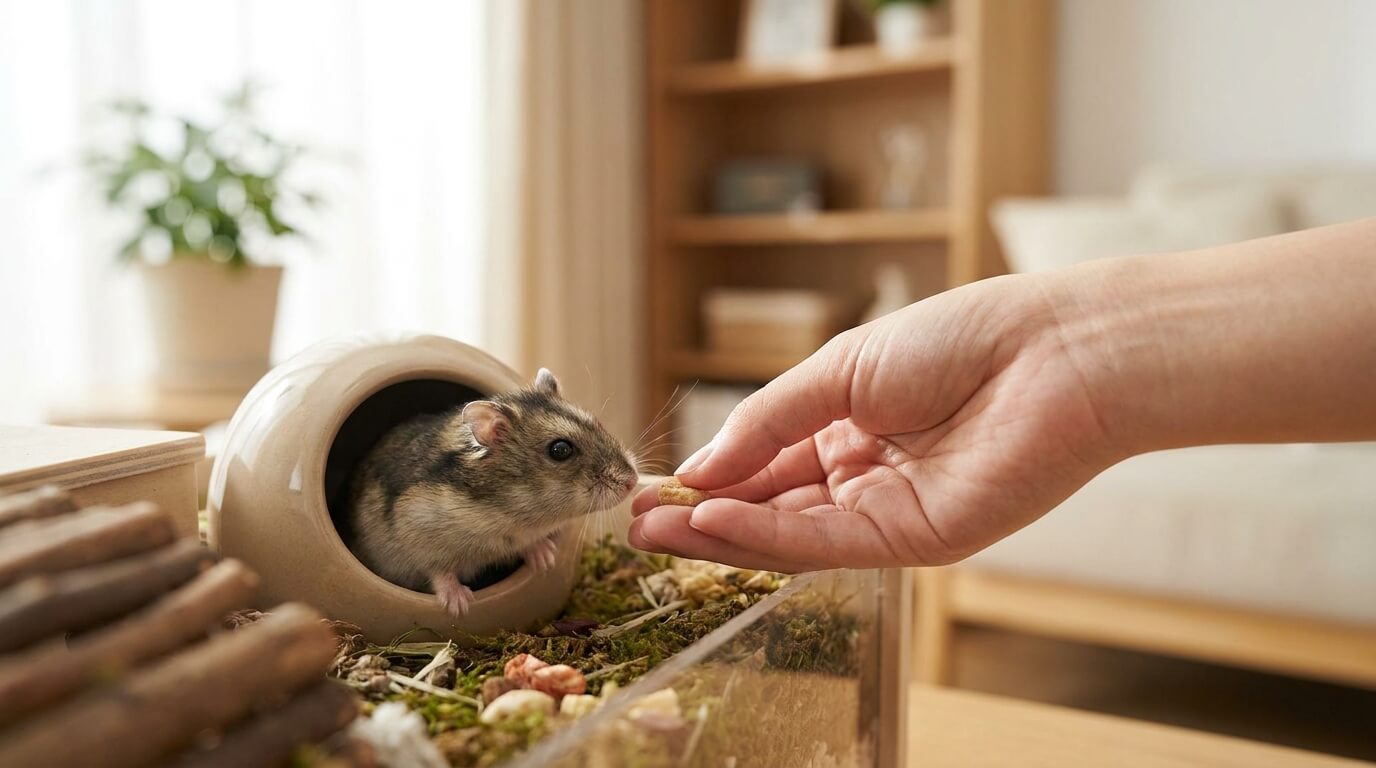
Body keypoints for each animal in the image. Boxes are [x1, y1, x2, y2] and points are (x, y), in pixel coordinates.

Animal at [348, 368, 638, 617]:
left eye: (597, 422)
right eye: (560, 450)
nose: (632, 482)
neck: (509, 509)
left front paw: (546, 559)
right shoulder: (417, 531)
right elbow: (439, 570)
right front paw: (459, 605)